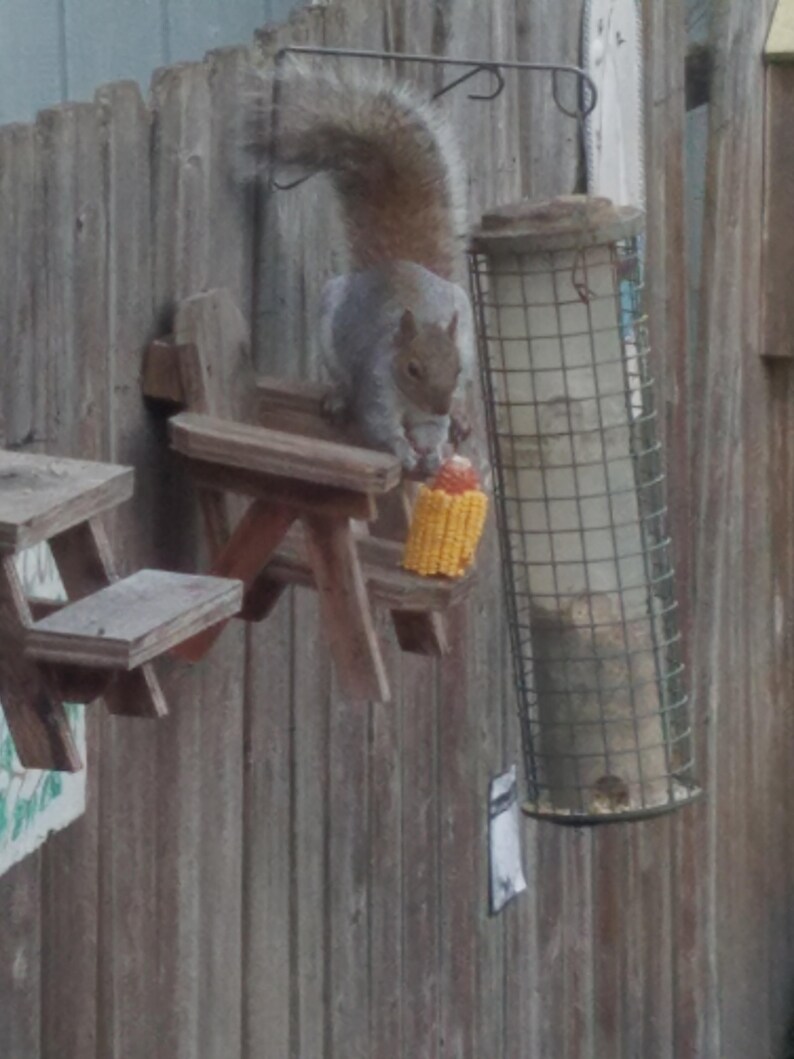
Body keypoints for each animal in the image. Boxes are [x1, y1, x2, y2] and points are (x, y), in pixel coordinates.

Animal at [242, 63, 475, 474]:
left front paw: (432, 452)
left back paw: (460, 414)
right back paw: (338, 396)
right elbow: (381, 428)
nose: (441, 405)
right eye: (413, 368)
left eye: (457, 368)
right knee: (340, 379)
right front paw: (403, 451)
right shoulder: (376, 391)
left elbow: (431, 431)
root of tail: (398, 262)